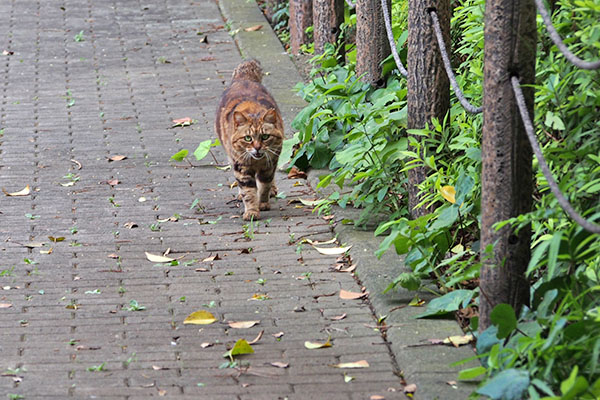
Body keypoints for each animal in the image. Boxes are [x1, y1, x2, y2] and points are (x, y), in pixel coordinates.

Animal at [214, 60, 284, 222]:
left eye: (265, 137)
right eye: (248, 138)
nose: (257, 147)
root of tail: (244, 78)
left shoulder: (270, 163)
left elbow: (264, 185)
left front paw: (263, 203)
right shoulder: (241, 167)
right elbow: (248, 192)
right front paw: (252, 210)